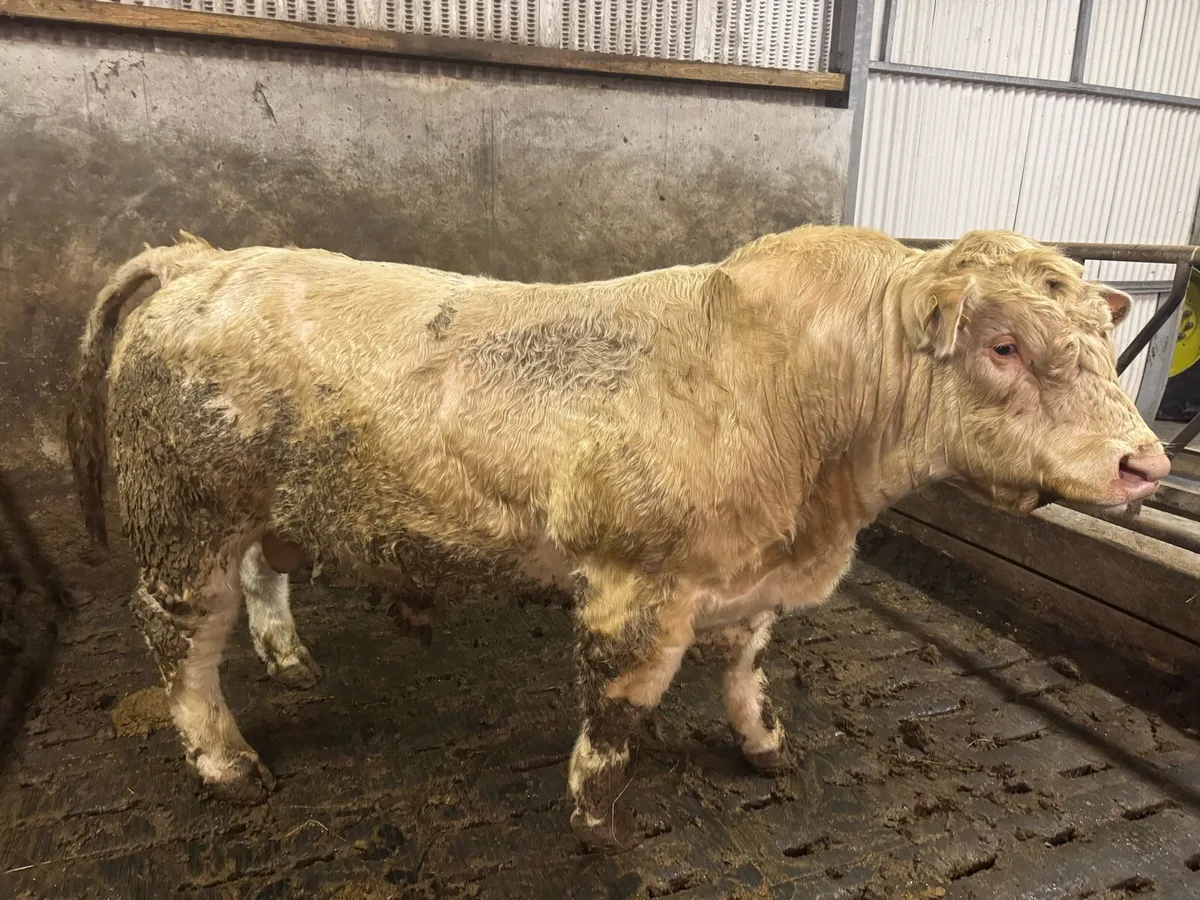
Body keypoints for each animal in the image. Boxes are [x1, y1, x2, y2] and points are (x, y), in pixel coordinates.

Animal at [67, 226, 1168, 853]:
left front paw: (766, 747)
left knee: (264, 576)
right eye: (1003, 346)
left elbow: (744, 671)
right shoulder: (639, 589)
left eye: (1105, 342)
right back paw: (226, 763)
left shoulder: (749, 581)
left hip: (268, 510)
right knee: (180, 642)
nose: (1145, 463)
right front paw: (598, 821)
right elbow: (618, 710)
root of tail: (209, 260)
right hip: (184, 521)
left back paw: (288, 657)